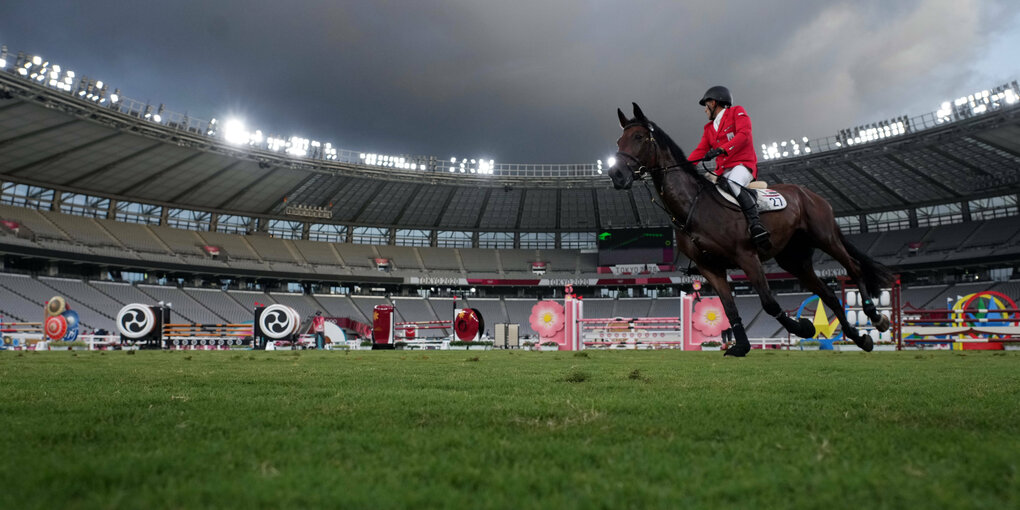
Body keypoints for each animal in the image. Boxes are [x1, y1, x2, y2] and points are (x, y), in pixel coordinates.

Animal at [603, 103, 893, 357]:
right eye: (618, 141)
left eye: (639, 137)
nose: (616, 175)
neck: (695, 205)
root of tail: (809, 193)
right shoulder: (711, 268)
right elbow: (730, 310)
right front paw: (741, 346)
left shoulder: (747, 257)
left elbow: (769, 302)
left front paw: (803, 327)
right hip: (795, 260)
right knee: (830, 295)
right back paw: (860, 338)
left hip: (826, 238)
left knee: (854, 268)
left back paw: (875, 316)